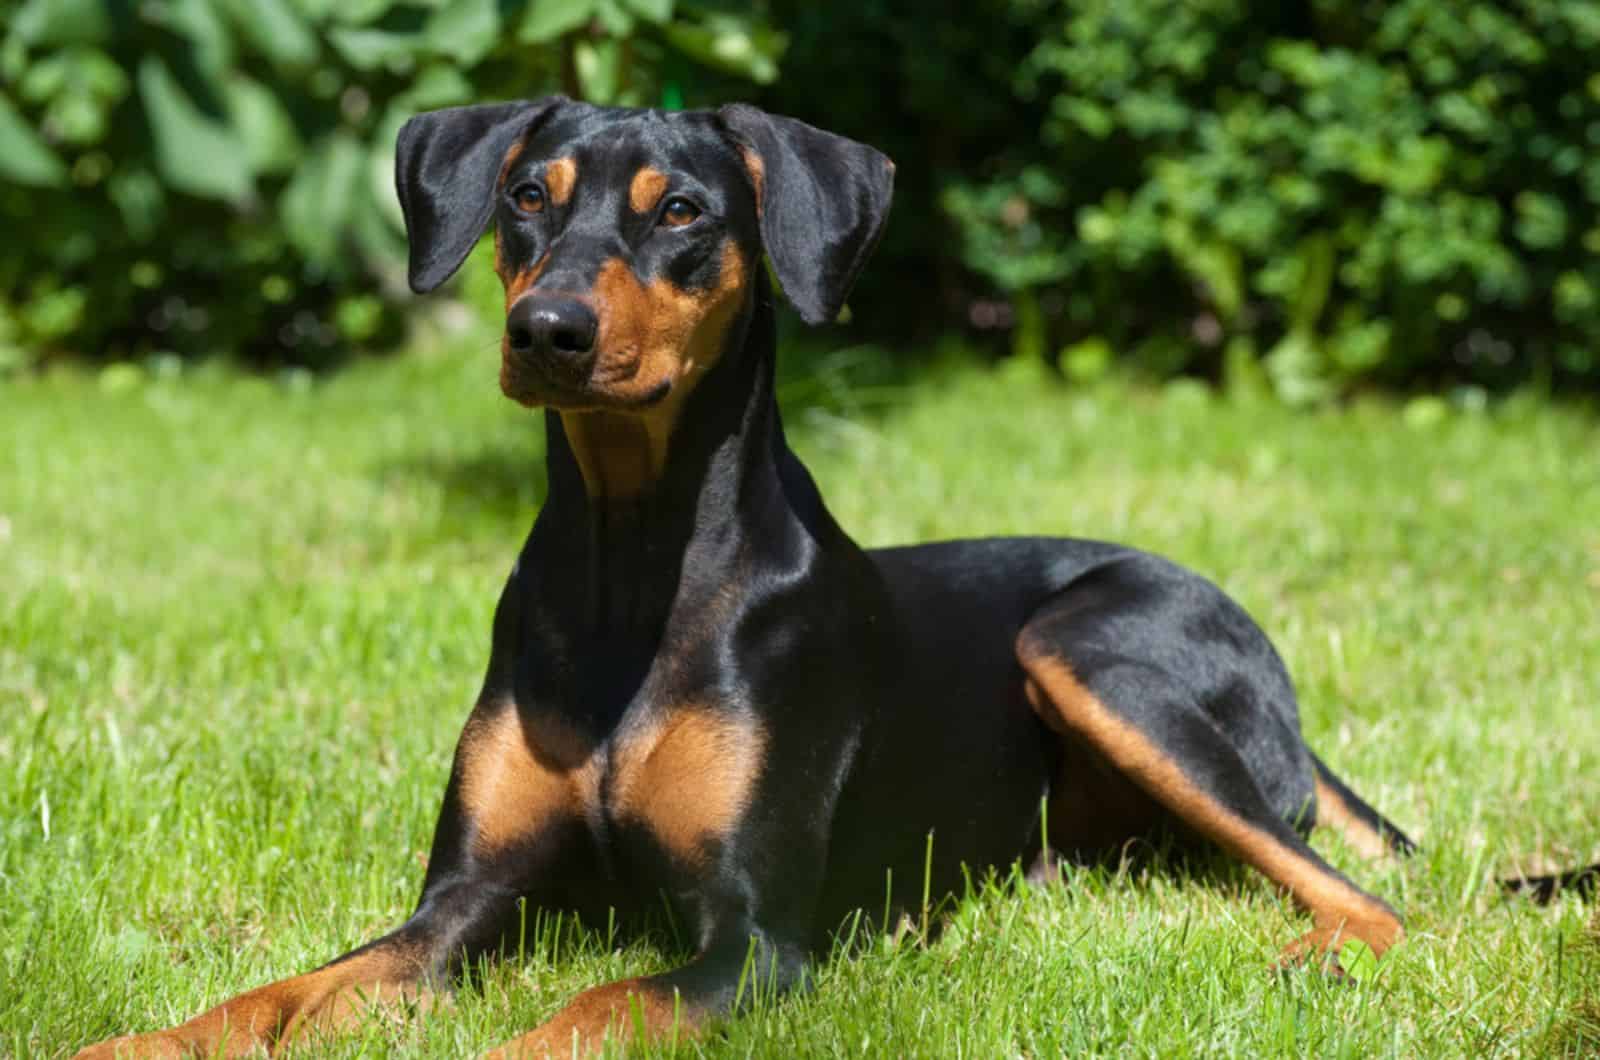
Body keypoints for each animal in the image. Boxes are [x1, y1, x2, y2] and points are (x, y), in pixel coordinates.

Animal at [78, 99, 1587, 1060]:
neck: (631, 557)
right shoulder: (467, 904)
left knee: (1367, 899)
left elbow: (590, 1009)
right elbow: (282, 990)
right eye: (525, 199)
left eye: (682, 211)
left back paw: (1308, 957)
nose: (546, 331)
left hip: (1090, 643)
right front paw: (134, 1041)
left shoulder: (754, 939)